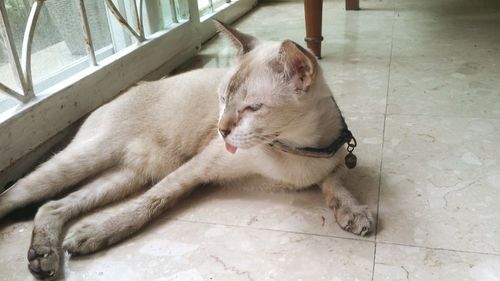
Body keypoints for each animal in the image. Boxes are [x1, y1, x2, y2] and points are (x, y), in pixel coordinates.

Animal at [0, 20, 372, 278]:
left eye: (252, 109)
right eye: (222, 100)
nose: (222, 130)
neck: (296, 150)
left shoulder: (329, 161)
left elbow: (337, 185)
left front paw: (353, 211)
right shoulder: (198, 167)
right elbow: (151, 203)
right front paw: (98, 232)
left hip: (129, 175)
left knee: (53, 205)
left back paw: (43, 256)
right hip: (86, 160)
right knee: (17, 194)